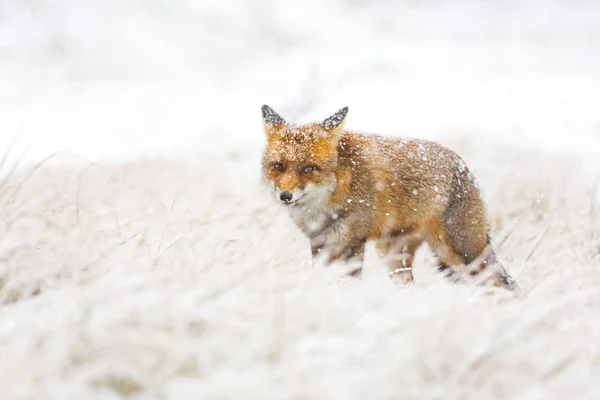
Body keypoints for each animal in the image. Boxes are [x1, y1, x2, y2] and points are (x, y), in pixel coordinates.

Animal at [260, 104, 516, 290]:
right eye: (278, 166)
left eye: (308, 169)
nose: (285, 196)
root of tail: (466, 168)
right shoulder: (320, 242)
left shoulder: (352, 243)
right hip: (394, 256)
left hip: (462, 253)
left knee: (502, 285)